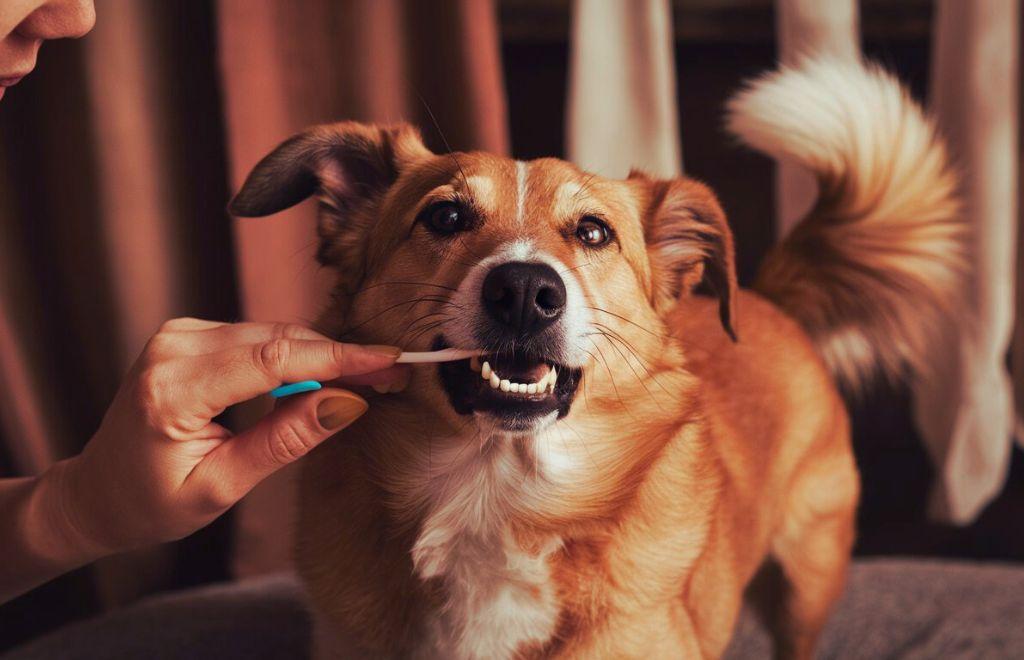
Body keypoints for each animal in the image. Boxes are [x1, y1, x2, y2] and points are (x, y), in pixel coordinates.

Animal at [230, 59, 958, 654]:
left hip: (810, 573)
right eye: (445, 217)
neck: (493, 495)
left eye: (593, 232)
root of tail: (766, 297)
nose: (526, 292)